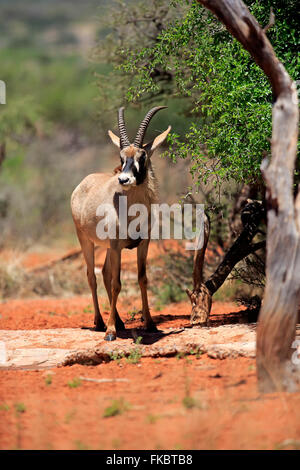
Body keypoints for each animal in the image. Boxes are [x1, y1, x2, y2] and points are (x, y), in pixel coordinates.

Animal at [70, 107, 172, 342]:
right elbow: (117, 283)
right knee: (92, 276)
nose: (124, 180)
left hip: (108, 248)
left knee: (105, 273)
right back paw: (100, 323)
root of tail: (82, 184)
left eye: (142, 156)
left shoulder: (143, 244)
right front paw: (110, 332)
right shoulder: (117, 247)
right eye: (121, 157)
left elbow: (142, 279)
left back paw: (119, 321)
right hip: (86, 240)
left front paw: (150, 324)